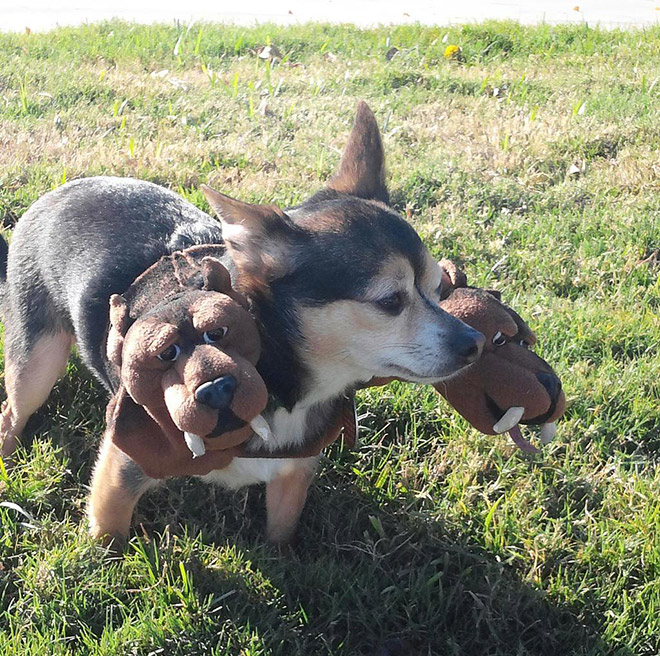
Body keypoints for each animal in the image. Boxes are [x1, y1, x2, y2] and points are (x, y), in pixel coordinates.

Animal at [0, 102, 484, 544]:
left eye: (440, 288)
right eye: (390, 301)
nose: (475, 343)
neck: (270, 368)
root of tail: (57, 193)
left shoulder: (293, 474)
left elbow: (281, 535)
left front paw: (282, 564)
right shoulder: (121, 473)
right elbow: (109, 540)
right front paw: (107, 564)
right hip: (37, 361)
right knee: (14, 409)